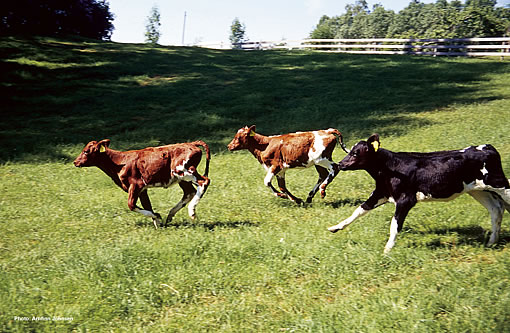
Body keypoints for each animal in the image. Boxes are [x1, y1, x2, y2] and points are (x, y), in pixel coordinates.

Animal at [73, 139, 211, 227]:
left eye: (86, 151)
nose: (75, 162)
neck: (119, 163)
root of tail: (191, 143)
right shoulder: (142, 189)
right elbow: (147, 205)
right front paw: (158, 222)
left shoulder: (136, 185)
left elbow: (131, 205)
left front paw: (157, 216)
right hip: (179, 177)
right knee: (189, 192)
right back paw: (170, 215)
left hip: (183, 170)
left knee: (204, 181)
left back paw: (191, 211)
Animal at [326, 132, 510, 252]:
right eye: (349, 151)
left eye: (356, 153)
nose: (340, 164)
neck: (389, 169)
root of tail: (487, 147)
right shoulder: (381, 193)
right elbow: (358, 210)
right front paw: (335, 227)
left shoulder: (405, 200)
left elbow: (394, 225)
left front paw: (387, 250)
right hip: (477, 190)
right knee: (496, 209)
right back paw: (491, 242)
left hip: (499, 184)